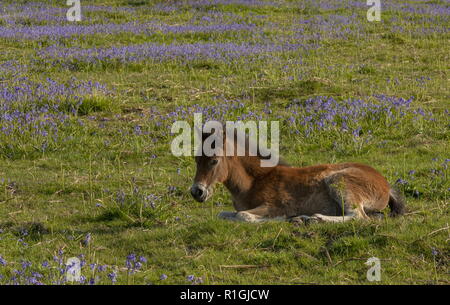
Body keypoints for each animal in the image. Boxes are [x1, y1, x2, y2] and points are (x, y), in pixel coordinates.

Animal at [188, 131, 406, 223]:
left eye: (214, 160)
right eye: (196, 159)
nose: (197, 192)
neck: (254, 182)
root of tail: (386, 185)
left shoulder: (273, 205)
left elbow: (244, 215)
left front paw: (282, 219)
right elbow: (224, 215)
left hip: (338, 181)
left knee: (358, 216)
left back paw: (313, 219)